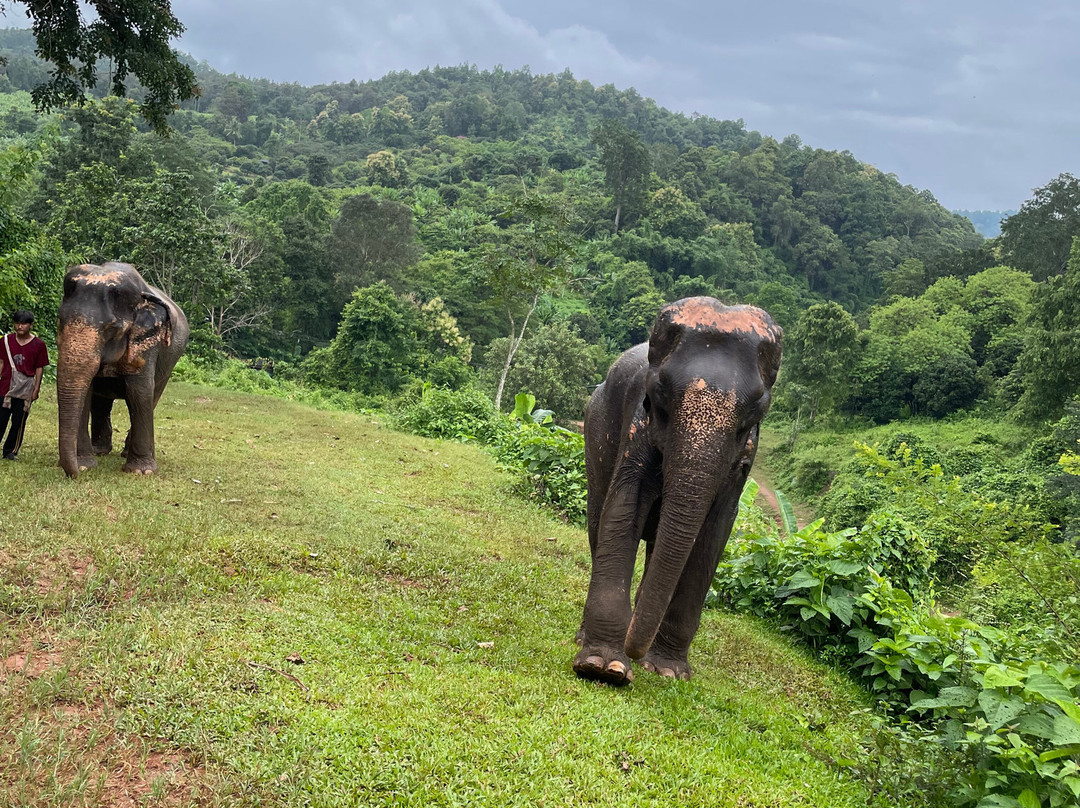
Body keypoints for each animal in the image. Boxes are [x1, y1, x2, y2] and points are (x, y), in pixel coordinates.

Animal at [56, 262, 190, 478]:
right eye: (60, 320)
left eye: (113, 329)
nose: (72, 474)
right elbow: (86, 392)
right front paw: (85, 465)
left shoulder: (147, 344)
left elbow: (139, 392)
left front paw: (141, 472)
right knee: (101, 402)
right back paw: (99, 451)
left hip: (170, 363)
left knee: (152, 396)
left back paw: (126, 453)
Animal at [574, 297, 782, 684]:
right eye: (659, 404)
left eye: (748, 422)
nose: (632, 652)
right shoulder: (635, 428)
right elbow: (624, 509)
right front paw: (604, 667)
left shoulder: (744, 464)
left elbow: (712, 537)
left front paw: (667, 670)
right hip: (593, 430)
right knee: (597, 517)